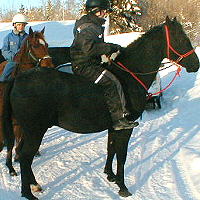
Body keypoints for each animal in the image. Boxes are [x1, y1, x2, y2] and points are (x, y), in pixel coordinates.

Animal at [0, 26, 54, 175]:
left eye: (47, 45)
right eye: (35, 45)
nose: (49, 66)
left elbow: (20, 141)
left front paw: (18, 156)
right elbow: (11, 143)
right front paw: (10, 167)